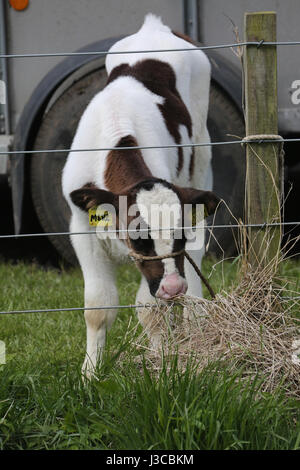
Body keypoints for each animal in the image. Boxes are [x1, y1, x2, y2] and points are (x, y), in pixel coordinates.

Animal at [62, 12, 219, 376]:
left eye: (177, 236)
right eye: (140, 239)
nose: (174, 287)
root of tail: (154, 27)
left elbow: (151, 310)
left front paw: (161, 363)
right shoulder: (81, 227)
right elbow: (98, 306)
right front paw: (90, 372)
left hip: (201, 158)